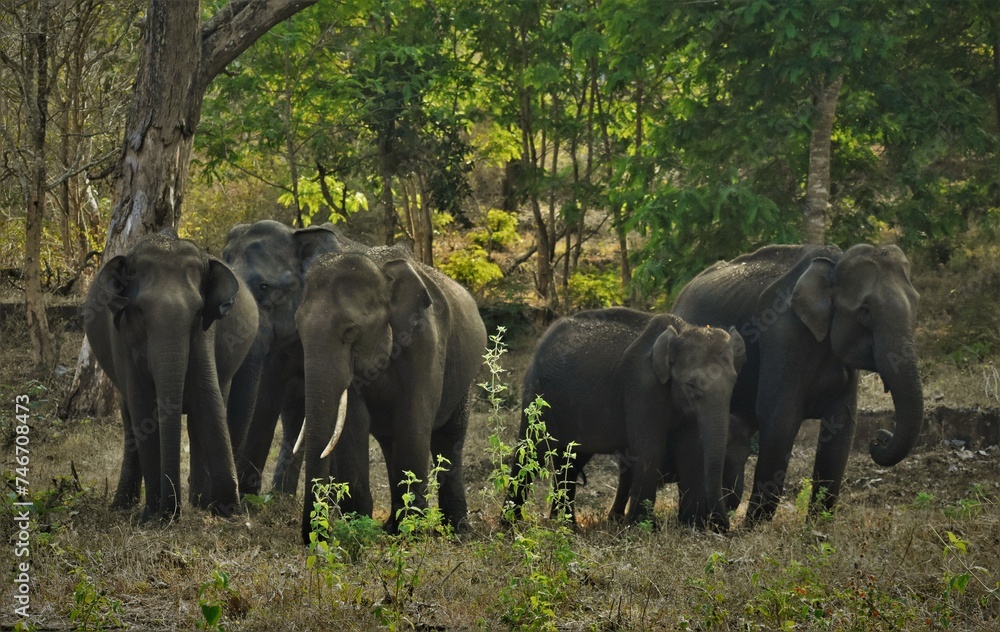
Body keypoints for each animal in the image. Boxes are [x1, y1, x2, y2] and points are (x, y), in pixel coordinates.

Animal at [83, 232, 258, 521]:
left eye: (198, 311)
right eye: (140, 310)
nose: (169, 511)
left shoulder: (207, 331)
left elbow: (207, 396)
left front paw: (228, 512)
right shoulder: (121, 337)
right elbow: (142, 406)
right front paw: (151, 516)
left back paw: (200, 503)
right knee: (130, 418)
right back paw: (123, 505)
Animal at [293, 246, 487, 544]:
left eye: (351, 331)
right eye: (298, 330)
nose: (316, 537)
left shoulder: (425, 340)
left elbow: (414, 417)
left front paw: (412, 533)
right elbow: (353, 422)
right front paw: (357, 527)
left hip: (464, 378)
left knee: (448, 438)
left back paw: (457, 529)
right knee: (389, 443)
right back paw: (391, 527)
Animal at [505, 307, 746, 530]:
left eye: (734, 382)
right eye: (691, 385)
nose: (721, 526)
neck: (682, 330)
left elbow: (691, 450)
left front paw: (691, 527)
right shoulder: (640, 386)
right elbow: (649, 449)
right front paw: (642, 527)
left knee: (571, 460)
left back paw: (567, 525)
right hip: (538, 395)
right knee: (530, 451)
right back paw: (510, 525)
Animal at [672, 243, 923, 527]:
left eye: (917, 303)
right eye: (865, 311)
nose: (879, 438)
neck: (834, 263)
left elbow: (842, 423)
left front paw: (818, 526)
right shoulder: (782, 337)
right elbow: (780, 419)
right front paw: (753, 527)